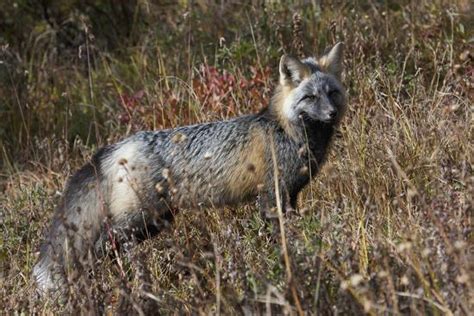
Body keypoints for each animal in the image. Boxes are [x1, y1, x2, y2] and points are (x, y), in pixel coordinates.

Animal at [32, 40, 344, 296]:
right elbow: (280, 238)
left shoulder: (291, 195)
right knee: (99, 247)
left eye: (332, 93)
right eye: (310, 97)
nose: (332, 113)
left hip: (155, 222)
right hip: (138, 219)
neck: (287, 132)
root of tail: (117, 147)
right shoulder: (271, 195)